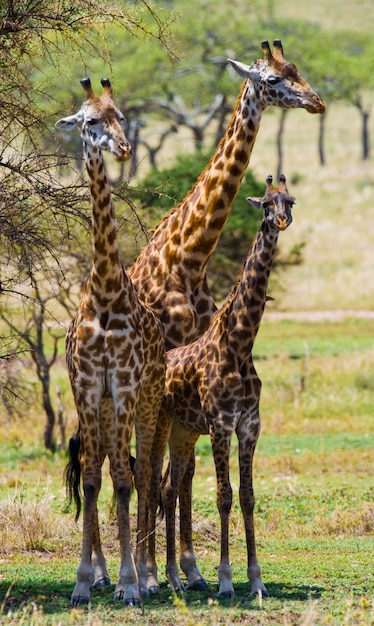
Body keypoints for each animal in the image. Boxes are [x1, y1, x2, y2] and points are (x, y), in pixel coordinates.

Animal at [151, 174, 296, 596]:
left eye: (290, 201)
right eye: (265, 204)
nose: (281, 221)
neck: (240, 343)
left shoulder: (249, 424)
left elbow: (247, 497)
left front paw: (257, 580)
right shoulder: (220, 424)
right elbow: (224, 496)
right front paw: (227, 581)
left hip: (183, 431)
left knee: (168, 487)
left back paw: (175, 577)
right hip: (159, 423)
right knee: (149, 483)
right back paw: (149, 577)